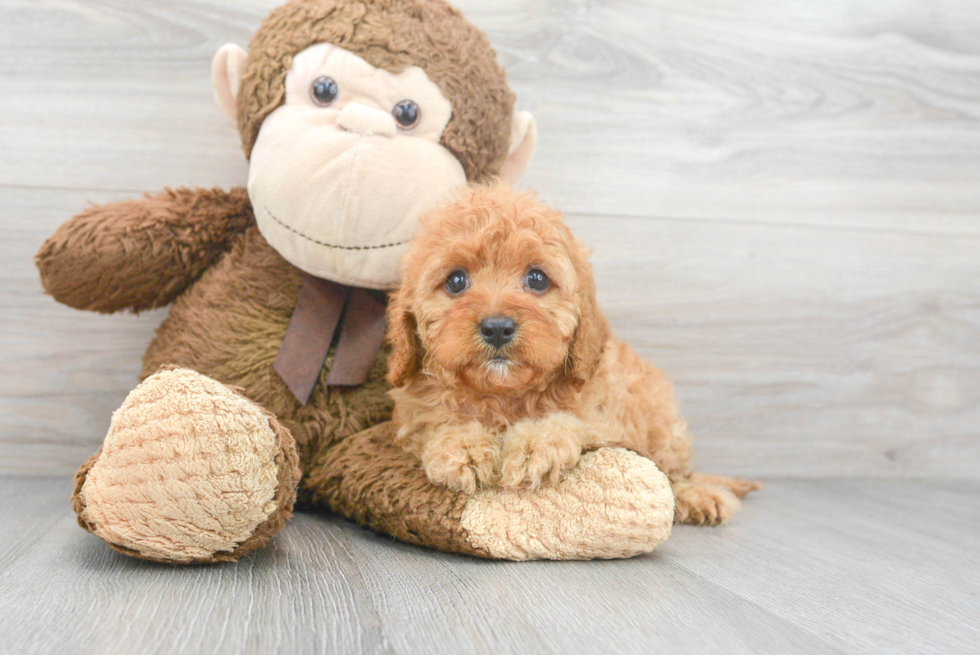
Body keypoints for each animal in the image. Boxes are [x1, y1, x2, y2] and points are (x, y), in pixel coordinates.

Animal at [386, 184, 760, 528]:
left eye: (537, 278)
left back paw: (697, 496)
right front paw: (463, 449)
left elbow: (570, 422)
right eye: (456, 281)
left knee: (674, 473)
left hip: (665, 431)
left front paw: (534, 446)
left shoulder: (605, 421)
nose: (497, 327)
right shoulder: (412, 421)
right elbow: (438, 423)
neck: (503, 396)